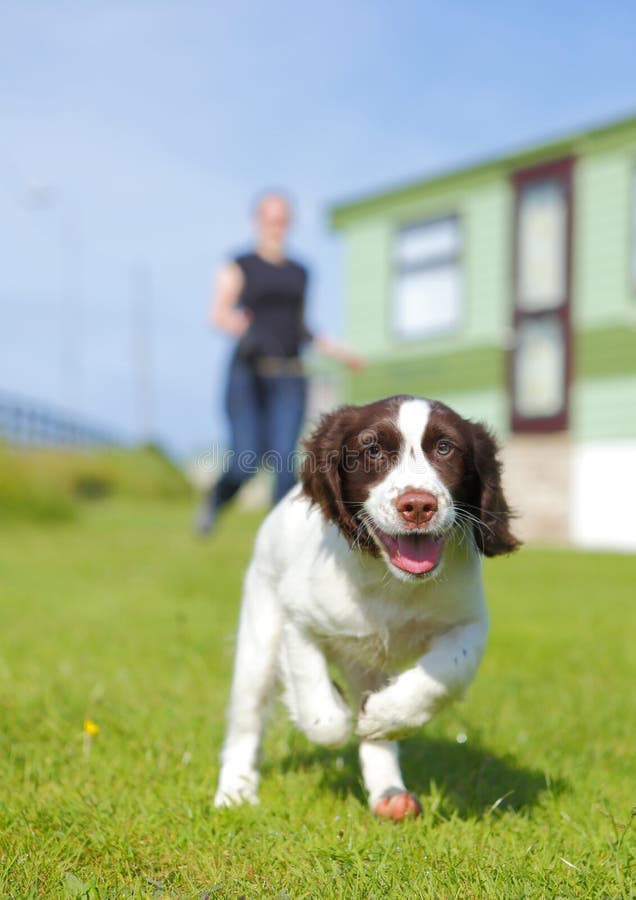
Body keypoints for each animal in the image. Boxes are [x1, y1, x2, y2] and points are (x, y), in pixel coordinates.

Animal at [214, 398, 516, 820]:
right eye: (372, 451)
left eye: (445, 448)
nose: (418, 506)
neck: (390, 582)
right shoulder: (297, 617)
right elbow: (318, 706)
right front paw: (335, 712)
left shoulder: (468, 622)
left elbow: (446, 674)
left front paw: (384, 716)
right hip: (259, 636)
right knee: (246, 719)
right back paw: (235, 791)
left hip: (367, 664)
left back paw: (388, 789)